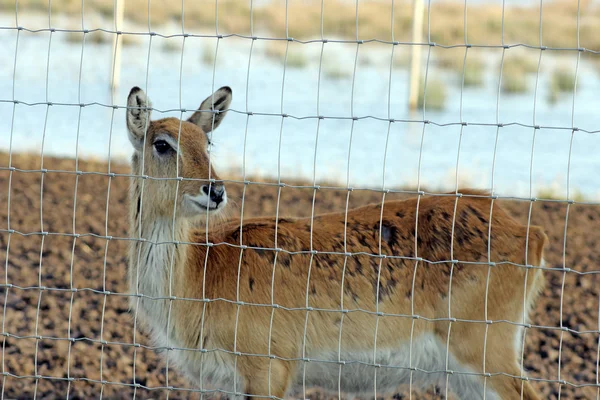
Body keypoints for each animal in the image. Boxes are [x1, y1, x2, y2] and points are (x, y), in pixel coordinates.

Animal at [126, 85, 548, 400]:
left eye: (207, 142)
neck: (201, 279)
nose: (215, 191)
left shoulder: (270, 367)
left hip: (485, 348)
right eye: (162, 143)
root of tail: (532, 233)